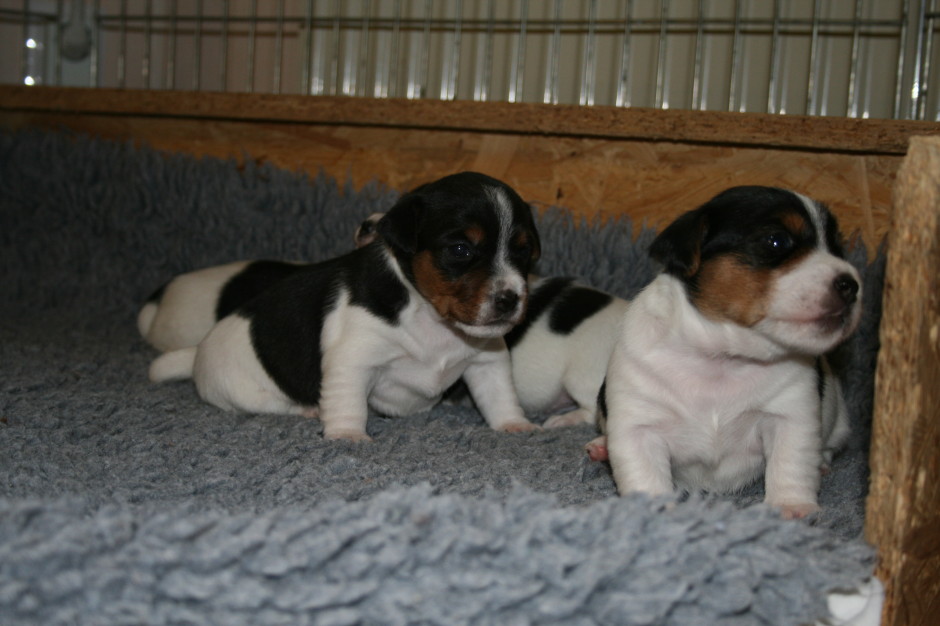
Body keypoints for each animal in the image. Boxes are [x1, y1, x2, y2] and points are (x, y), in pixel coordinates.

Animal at [150, 172, 540, 438]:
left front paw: (515, 425)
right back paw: (309, 410)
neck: (429, 316)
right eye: (460, 250)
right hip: (247, 393)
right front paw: (347, 436)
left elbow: (500, 396)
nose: (509, 299)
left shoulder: (487, 361)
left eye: (523, 250)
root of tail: (197, 353)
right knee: (276, 405)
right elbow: (347, 401)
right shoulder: (353, 359)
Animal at [600, 185, 864, 516]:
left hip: (838, 420)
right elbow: (644, 476)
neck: (722, 357)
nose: (851, 285)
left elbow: (791, 463)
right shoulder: (639, 424)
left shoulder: (791, 417)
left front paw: (790, 507)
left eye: (837, 248)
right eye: (776, 240)